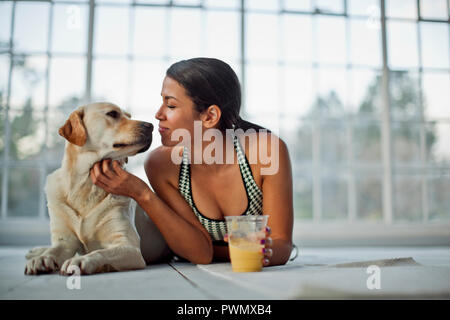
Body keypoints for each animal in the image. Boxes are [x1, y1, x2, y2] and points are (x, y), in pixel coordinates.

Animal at [25, 102, 169, 276]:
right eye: (112, 113)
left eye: (129, 116)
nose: (151, 126)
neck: (86, 184)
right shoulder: (65, 241)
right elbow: (54, 250)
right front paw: (41, 258)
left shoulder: (129, 246)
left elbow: (102, 252)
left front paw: (81, 260)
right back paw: (36, 251)